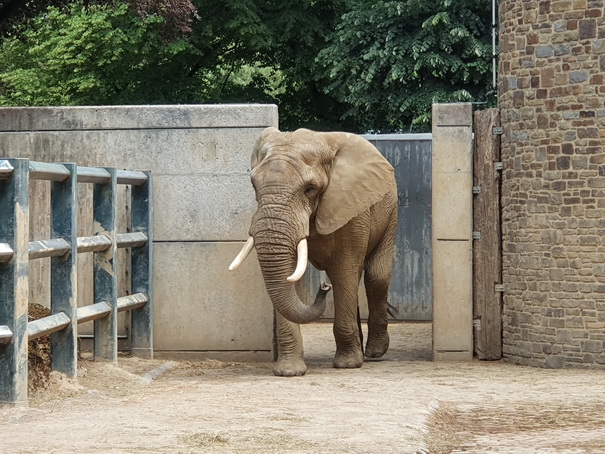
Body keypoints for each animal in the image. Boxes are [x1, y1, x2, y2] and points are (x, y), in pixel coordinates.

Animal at [229, 127, 398, 376]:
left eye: (309, 189)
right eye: (254, 186)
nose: (323, 287)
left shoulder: (351, 206)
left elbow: (344, 270)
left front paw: (347, 365)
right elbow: (289, 276)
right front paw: (289, 372)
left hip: (390, 210)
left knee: (376, 276)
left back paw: (374, 353)